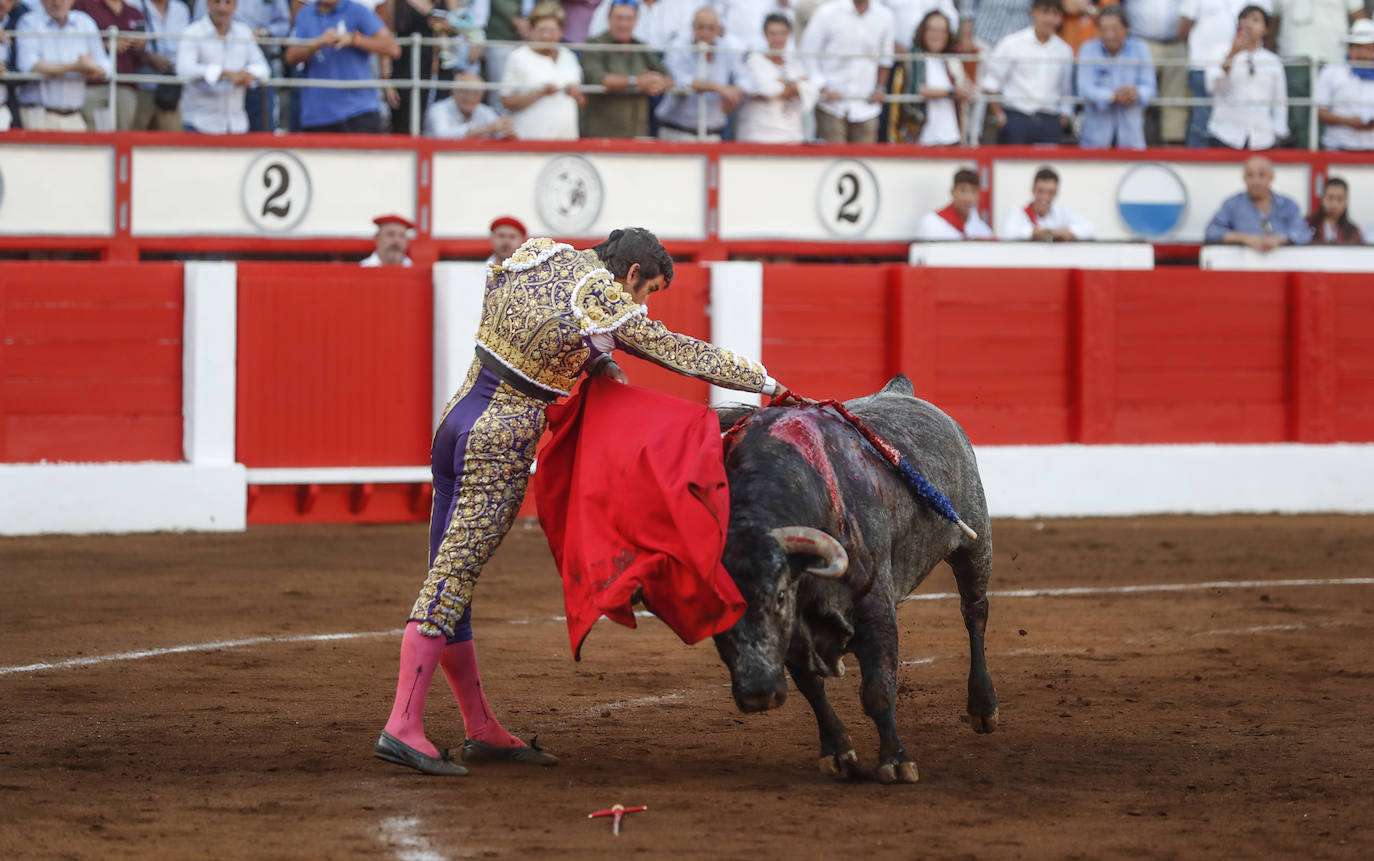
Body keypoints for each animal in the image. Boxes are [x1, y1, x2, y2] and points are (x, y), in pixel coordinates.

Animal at [714, 373, 994, 785]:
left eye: (779, 596)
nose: (758, 692)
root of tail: (899, 390)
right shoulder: (795, 635)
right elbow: (811, 687)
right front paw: (838, 752)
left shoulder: (874, 606)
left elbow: (877, 688)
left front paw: (896, 761)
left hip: (975, 542)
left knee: (974, 612)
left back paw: (983, 707)